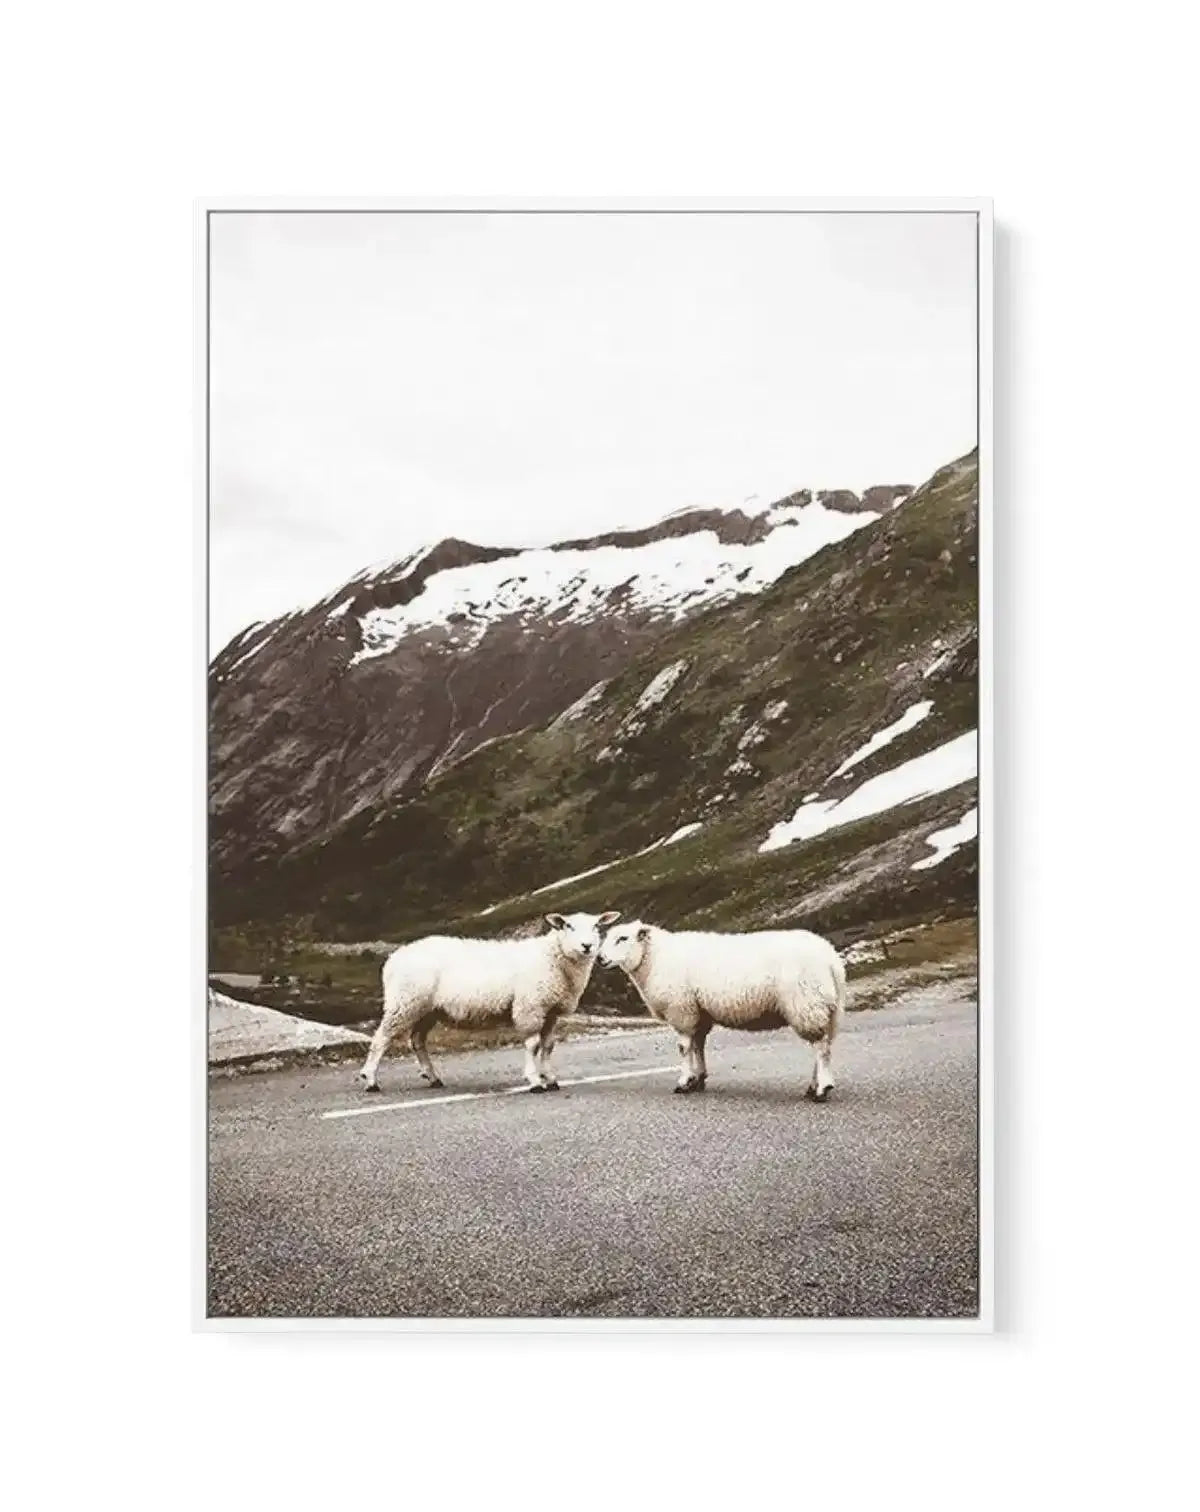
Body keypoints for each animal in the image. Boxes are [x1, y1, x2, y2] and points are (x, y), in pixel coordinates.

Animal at [356, 911, 620, 1093]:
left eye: (597, 926)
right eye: (568, 926)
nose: (587, 946)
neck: (553, 959)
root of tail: (394, 958)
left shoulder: (550, 1013)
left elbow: (548, 1046)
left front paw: (550, 1079)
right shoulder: (529, 1007)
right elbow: (533, 1045)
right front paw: (534, 1080)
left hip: (427, 1009)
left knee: (417, 1040)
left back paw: (433, 1077)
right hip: (404, 1002)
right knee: (381, 1039)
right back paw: (370, 1080)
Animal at [598, 920, 846, 1099]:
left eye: (622, 938)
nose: (599, 958)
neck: (655, 959)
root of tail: (831, 959)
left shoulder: (681, 1010)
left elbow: (684, 1048)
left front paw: (684, 1082)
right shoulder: (699, 1013)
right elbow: (698, 1046)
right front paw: (698, 1079)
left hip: (807, 1003)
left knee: (821, 1048)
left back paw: (822, 1089)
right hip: (826, 1007)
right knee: (822, 1046)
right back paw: (813, 1087)